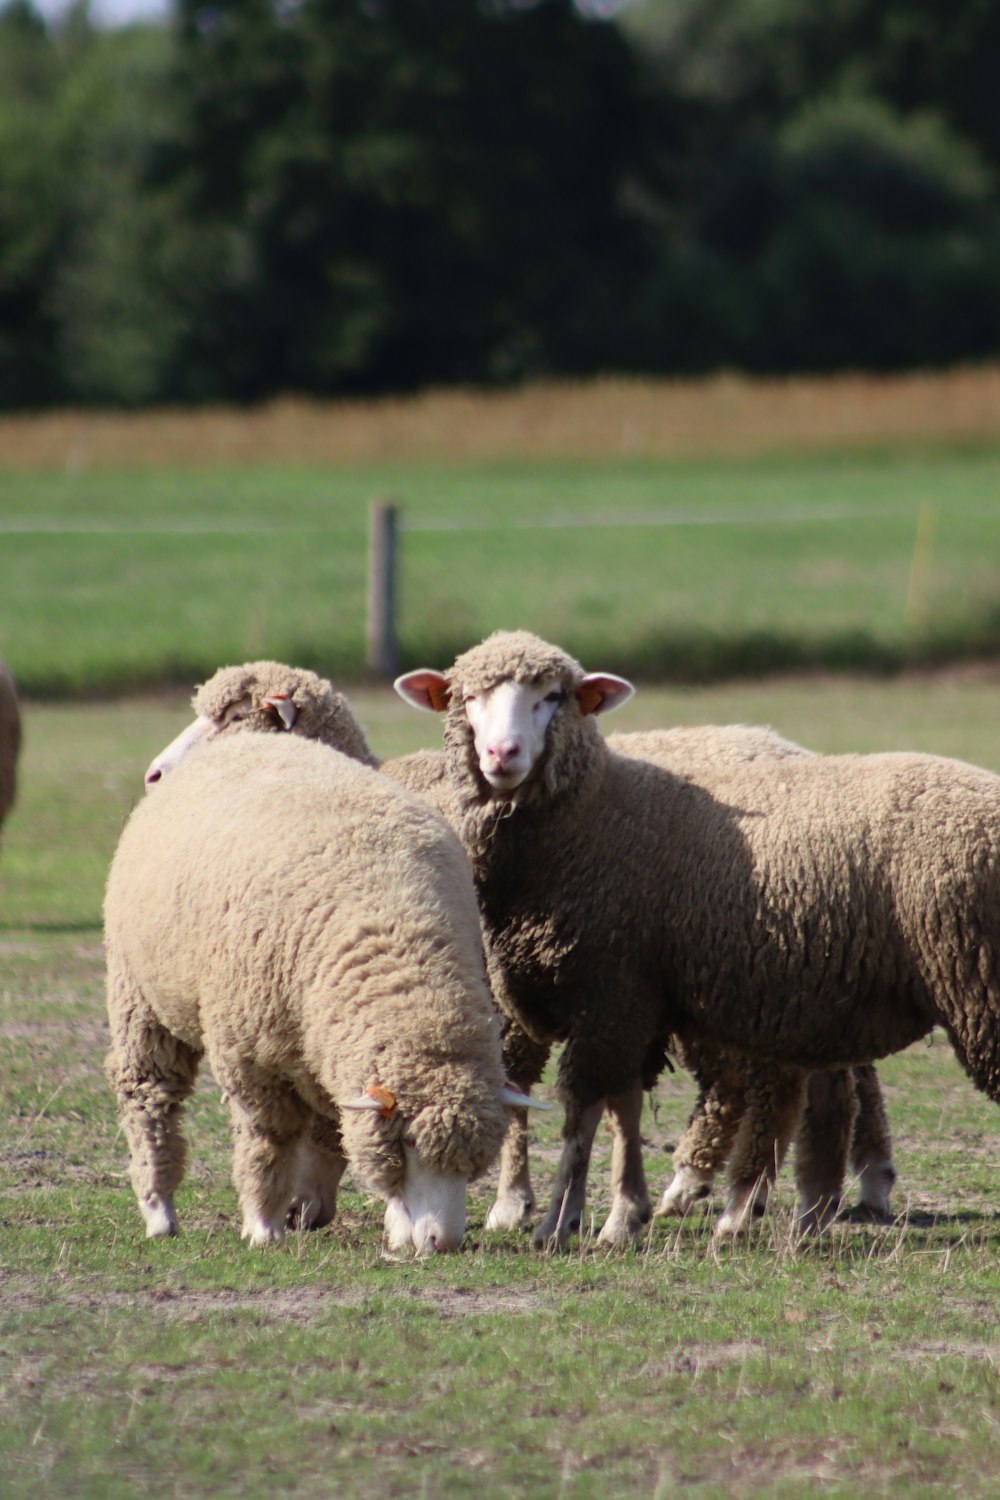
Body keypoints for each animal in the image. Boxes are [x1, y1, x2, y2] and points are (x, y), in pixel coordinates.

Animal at [105, 726, 521, 1254]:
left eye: (473, 1165)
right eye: (407, 1141)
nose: (442, 1242)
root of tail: (245, 738)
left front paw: (396, 1225)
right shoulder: (252, 1063)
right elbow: (269, 1141)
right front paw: (263, 1224)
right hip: (139, 1000)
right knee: (149, 1097)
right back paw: (159, 1209)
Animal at [398, 633, 1000, 1254]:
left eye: (553, 696)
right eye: (468, 698)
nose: (502, 754)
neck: (592, 815)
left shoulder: (608, 991)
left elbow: (580, 1109)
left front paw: (559, 1219)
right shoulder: (631, 998)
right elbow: (622, 1106)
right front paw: (623, 1212)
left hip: (967, 984)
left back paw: (748, 1205)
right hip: (825, 997)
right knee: (830, 1097)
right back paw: (805, 1214)